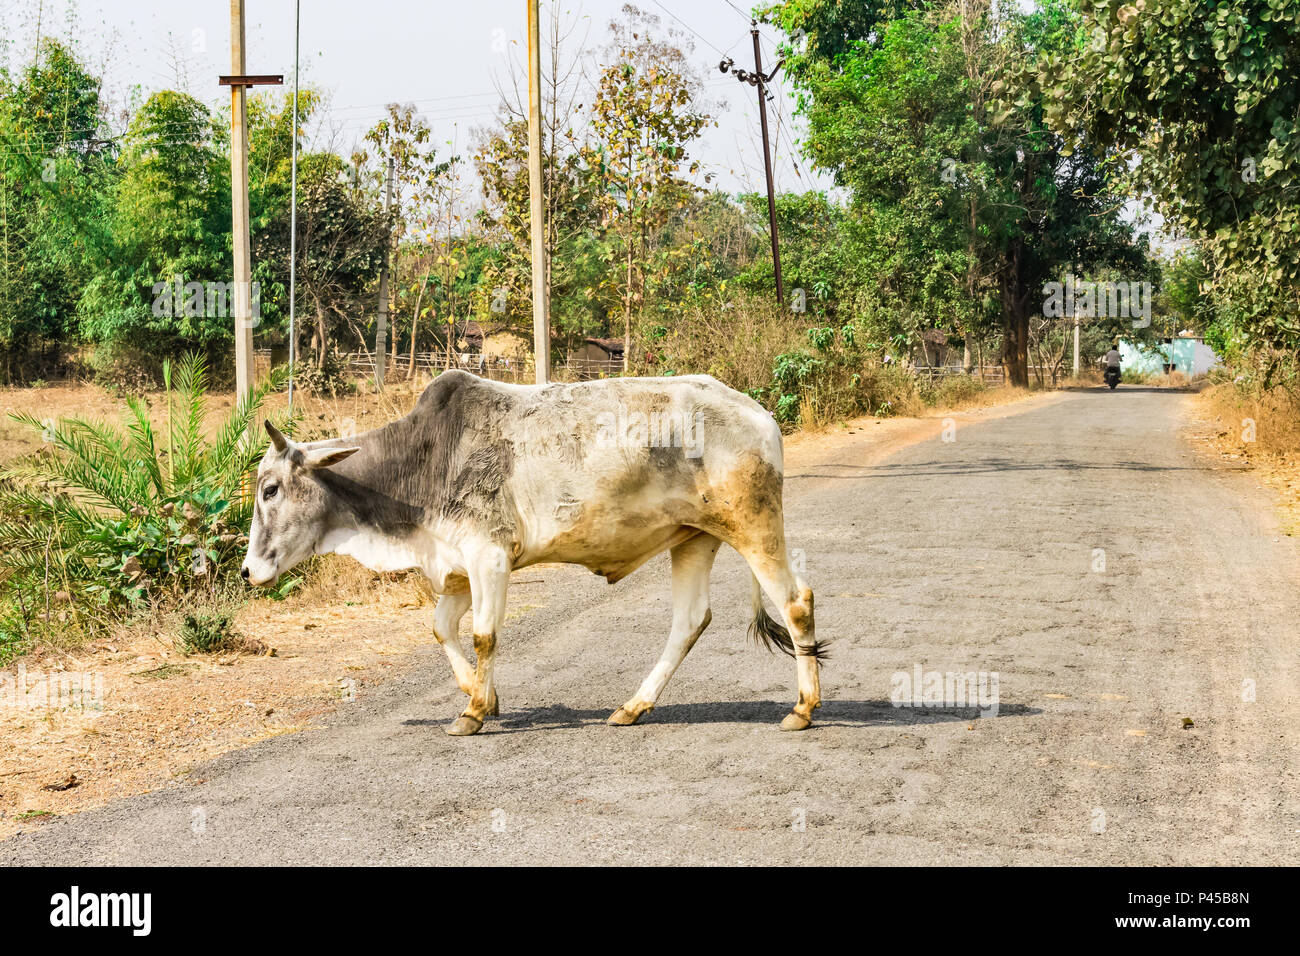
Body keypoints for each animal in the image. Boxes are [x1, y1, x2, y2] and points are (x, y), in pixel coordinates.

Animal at [241, 370, 824, 736]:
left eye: (269, 489)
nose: (249, 571)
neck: (424, 462)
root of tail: (760, 413)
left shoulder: (490, 557)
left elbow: (483, 635)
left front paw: (473, 713)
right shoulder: (458, 566)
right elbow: (441, 628)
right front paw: (483, 696)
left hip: (753, 526)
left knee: (796, 601)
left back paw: (803, 709)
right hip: (694, 538)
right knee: (689, 620)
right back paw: (632, 707)